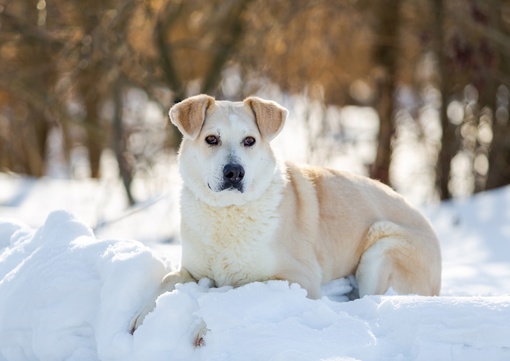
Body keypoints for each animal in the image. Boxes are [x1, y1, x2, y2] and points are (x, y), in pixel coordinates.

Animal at [131, 94, 442, 330]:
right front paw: (142, 317)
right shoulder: (192, 270)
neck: (229, 212)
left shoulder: (298, 278)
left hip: (382, 247)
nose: (234, 173)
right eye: (211, 139)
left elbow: (242, 289)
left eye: (249, 141)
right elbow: (168, 279)